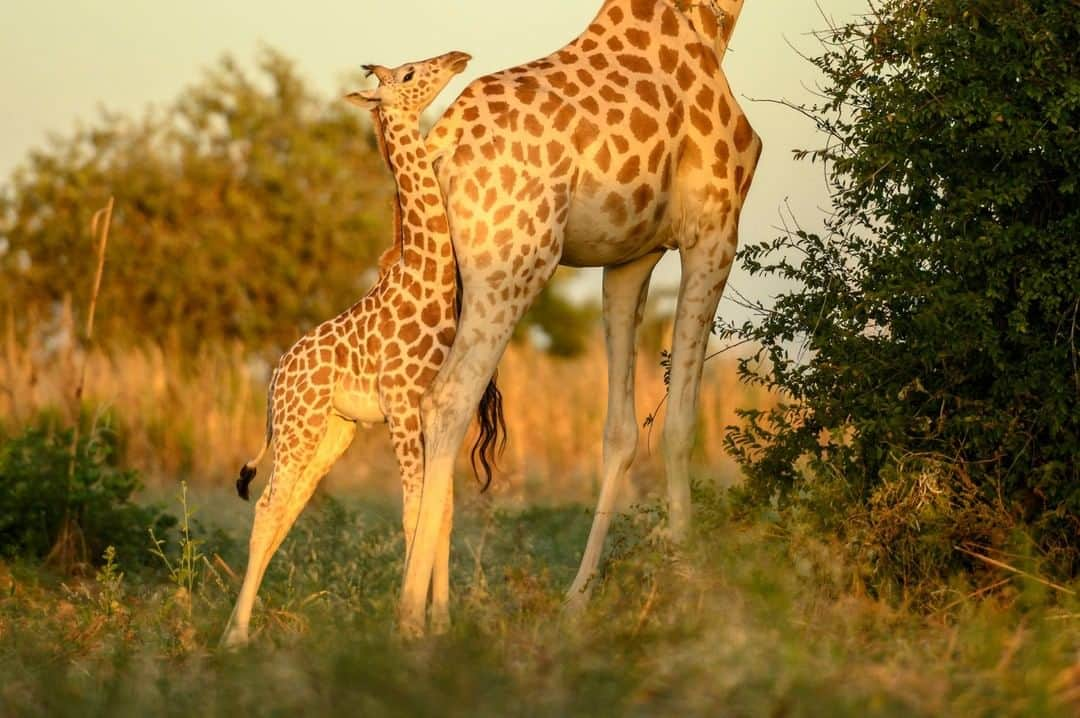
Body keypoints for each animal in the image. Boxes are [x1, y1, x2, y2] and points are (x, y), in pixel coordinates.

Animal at [223, 49, 501, 643]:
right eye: (411, 73)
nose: (458, 56)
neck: (427, 281)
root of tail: (273, 378)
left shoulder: (438, 414)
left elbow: (441, 513)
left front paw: (440, 622)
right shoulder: (402, 410)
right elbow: (414, 515)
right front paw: (409, 627)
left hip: (332, 431)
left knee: (285, 509)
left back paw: (240, 627)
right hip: (298, 427)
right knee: (267, 507)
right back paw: (234, 636)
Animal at [401, 0, 756, 630]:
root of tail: (443, 142)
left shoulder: (630, 258)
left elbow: (620, 431)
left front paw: (578, 599)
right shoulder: (714, 228)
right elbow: (681, 424)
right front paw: (689, 586)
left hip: (444, 274)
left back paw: (440, 613)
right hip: (511, 266)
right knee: (448, 399)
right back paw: (414, 620)